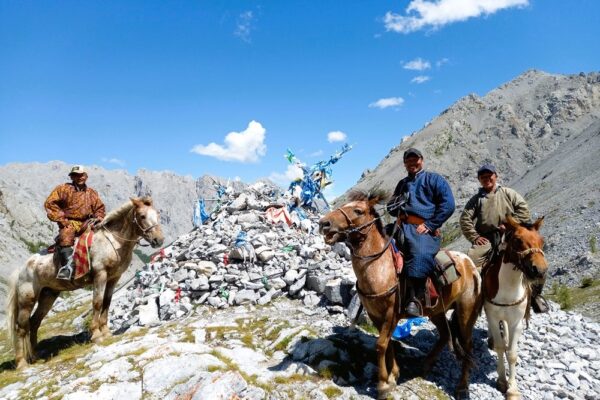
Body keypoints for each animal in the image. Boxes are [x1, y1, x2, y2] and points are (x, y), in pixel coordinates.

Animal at [6, 197, 164, 368]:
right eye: (142, 216)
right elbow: (97, 303)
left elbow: (106, 304)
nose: (159, 240)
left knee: (34, 322)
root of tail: (22, 269)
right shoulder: (100, 275)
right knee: (21, 328)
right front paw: (96, 335)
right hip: (26, 300)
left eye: (157, 214)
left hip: (48, 296)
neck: (113, 241)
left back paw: (35, 357)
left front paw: (106, 332)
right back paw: (22, 363)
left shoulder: (113, 279)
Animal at [318, 191, 482, 400]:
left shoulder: (391, 314)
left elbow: (381, 345)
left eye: (358, 211)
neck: (379, 267)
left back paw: (462, 387)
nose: (324, 223)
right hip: (436, 311)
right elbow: (387, 344)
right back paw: (425, 365)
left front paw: (382, 384)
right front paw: (393, 375)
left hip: (466, 314)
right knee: (445, 336)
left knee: (468, 347)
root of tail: (472, 266)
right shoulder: (376, 315)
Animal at [482, 214, 548, 398]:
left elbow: (511, 354)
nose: (540, 270)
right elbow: (499, 347)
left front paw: (513, 389)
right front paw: (501, 381)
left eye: (542, 241)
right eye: (518, 240)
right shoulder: (493, 315)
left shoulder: (516, 322)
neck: (508, 287)